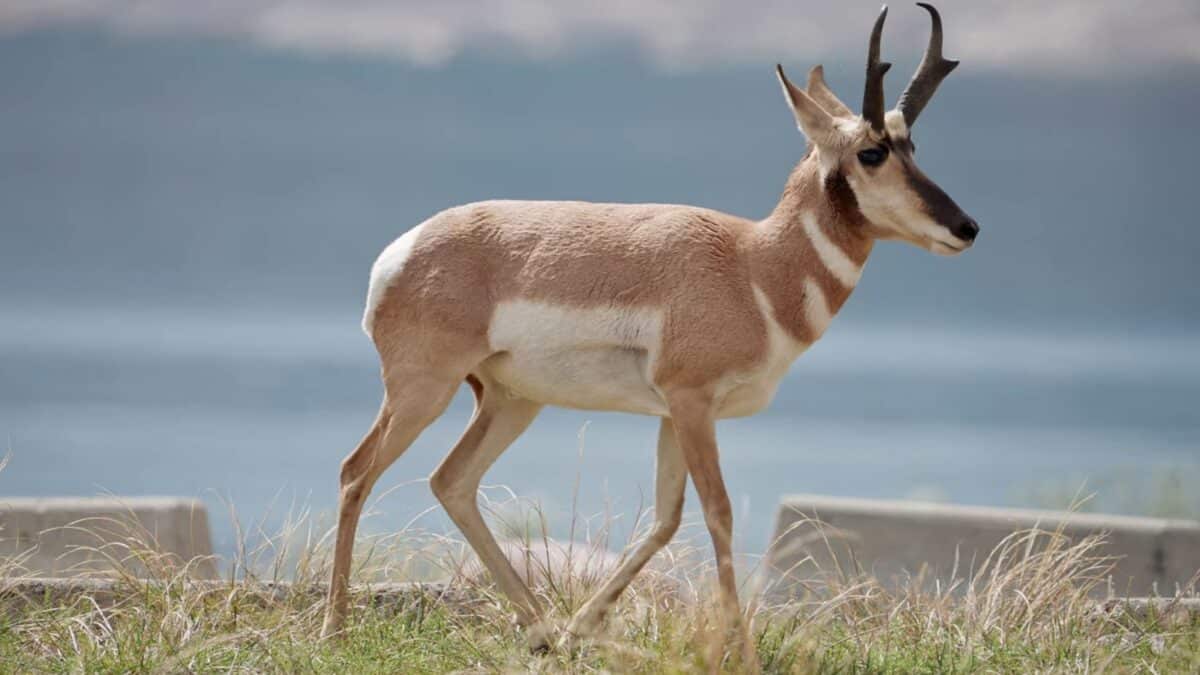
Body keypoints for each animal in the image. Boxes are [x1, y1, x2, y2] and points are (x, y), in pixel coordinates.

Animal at [319, 2, 974, 648]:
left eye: (912, 145)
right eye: (871, 152)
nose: (966, 227)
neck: (753, 265)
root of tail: (402, 250)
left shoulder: (673, 415)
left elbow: (666, 519)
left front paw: (584, 626)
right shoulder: (692, 403)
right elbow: (718, 512)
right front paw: (737, 646)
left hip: (510, 401)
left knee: (451, 481)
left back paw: (543, 629)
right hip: (423, 391)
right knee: (356, 472)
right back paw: (335, 629)